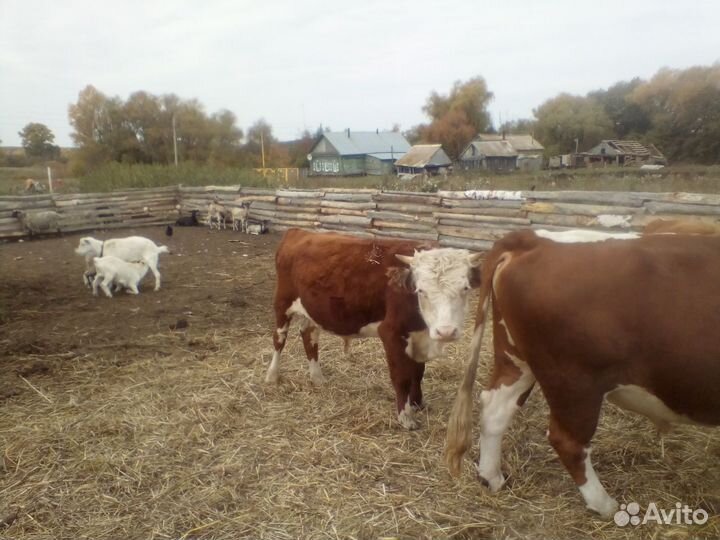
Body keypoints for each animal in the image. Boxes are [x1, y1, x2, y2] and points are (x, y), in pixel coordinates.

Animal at [268, 228, 483, 430]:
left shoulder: (419, 336)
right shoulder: (391, 333)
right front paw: (405, 417)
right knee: (279, 339)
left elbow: (418, 372)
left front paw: (417, 403)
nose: (446, 331)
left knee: (309, 337)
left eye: (465, 288)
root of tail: (299, 231)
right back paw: (272, 376)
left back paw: (317, 377)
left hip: (311, 311)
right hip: (282, 303)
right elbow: (402, 377)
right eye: (421, 290)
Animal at [445, 229, 720, 518]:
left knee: (496, 408)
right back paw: (606, 506)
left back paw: (492, 478)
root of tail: (532, 239)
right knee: (568, 440)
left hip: (516, 359)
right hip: (574, 382)